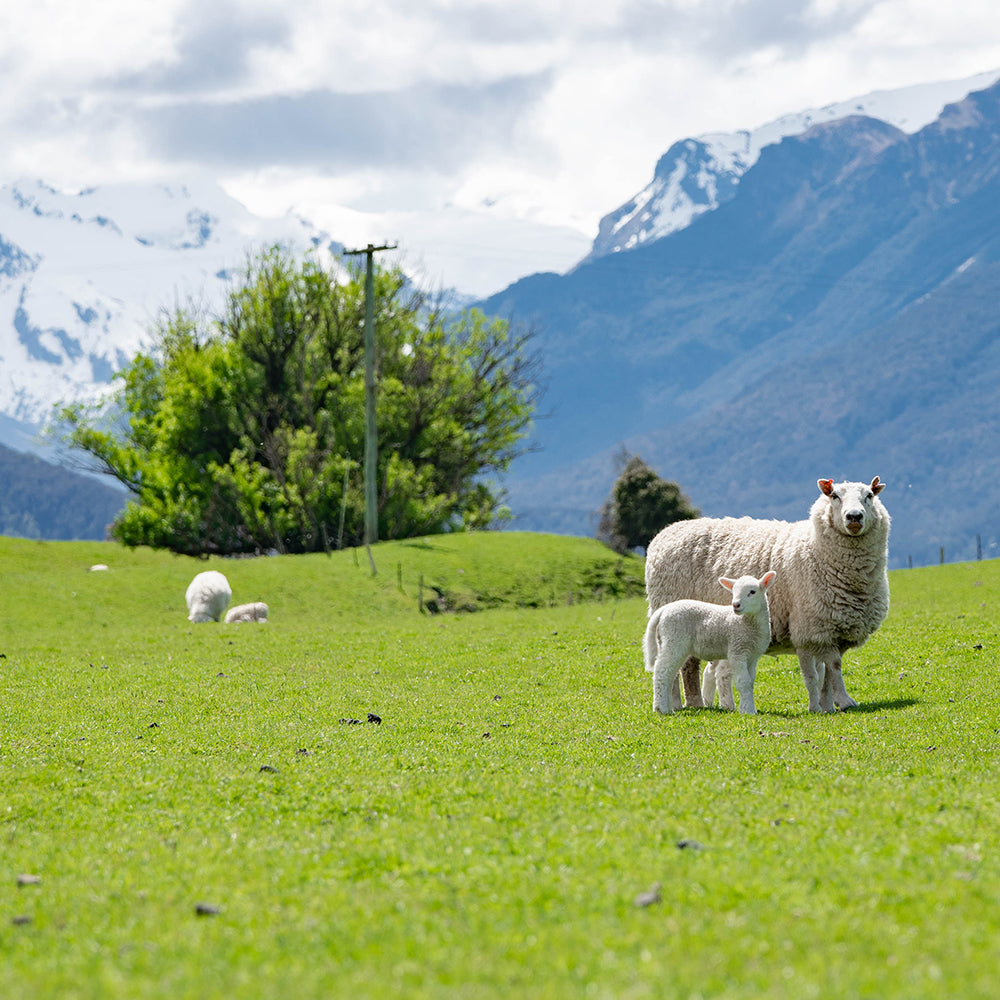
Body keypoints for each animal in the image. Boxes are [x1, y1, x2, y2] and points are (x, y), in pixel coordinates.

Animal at [644, 572, 776, 720]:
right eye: (734, 591)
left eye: (752, 592)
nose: (735, 605)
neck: (746, 623)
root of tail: (664, 610)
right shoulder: (737, 650)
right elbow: (743, 681)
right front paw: (748, 710)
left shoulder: (753, 656)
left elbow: (751, 682)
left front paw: (747, 708)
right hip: (674, 639)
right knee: (662, 671)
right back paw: (661, 708)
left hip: (669, 641)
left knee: (670, 674)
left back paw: (667, 707)